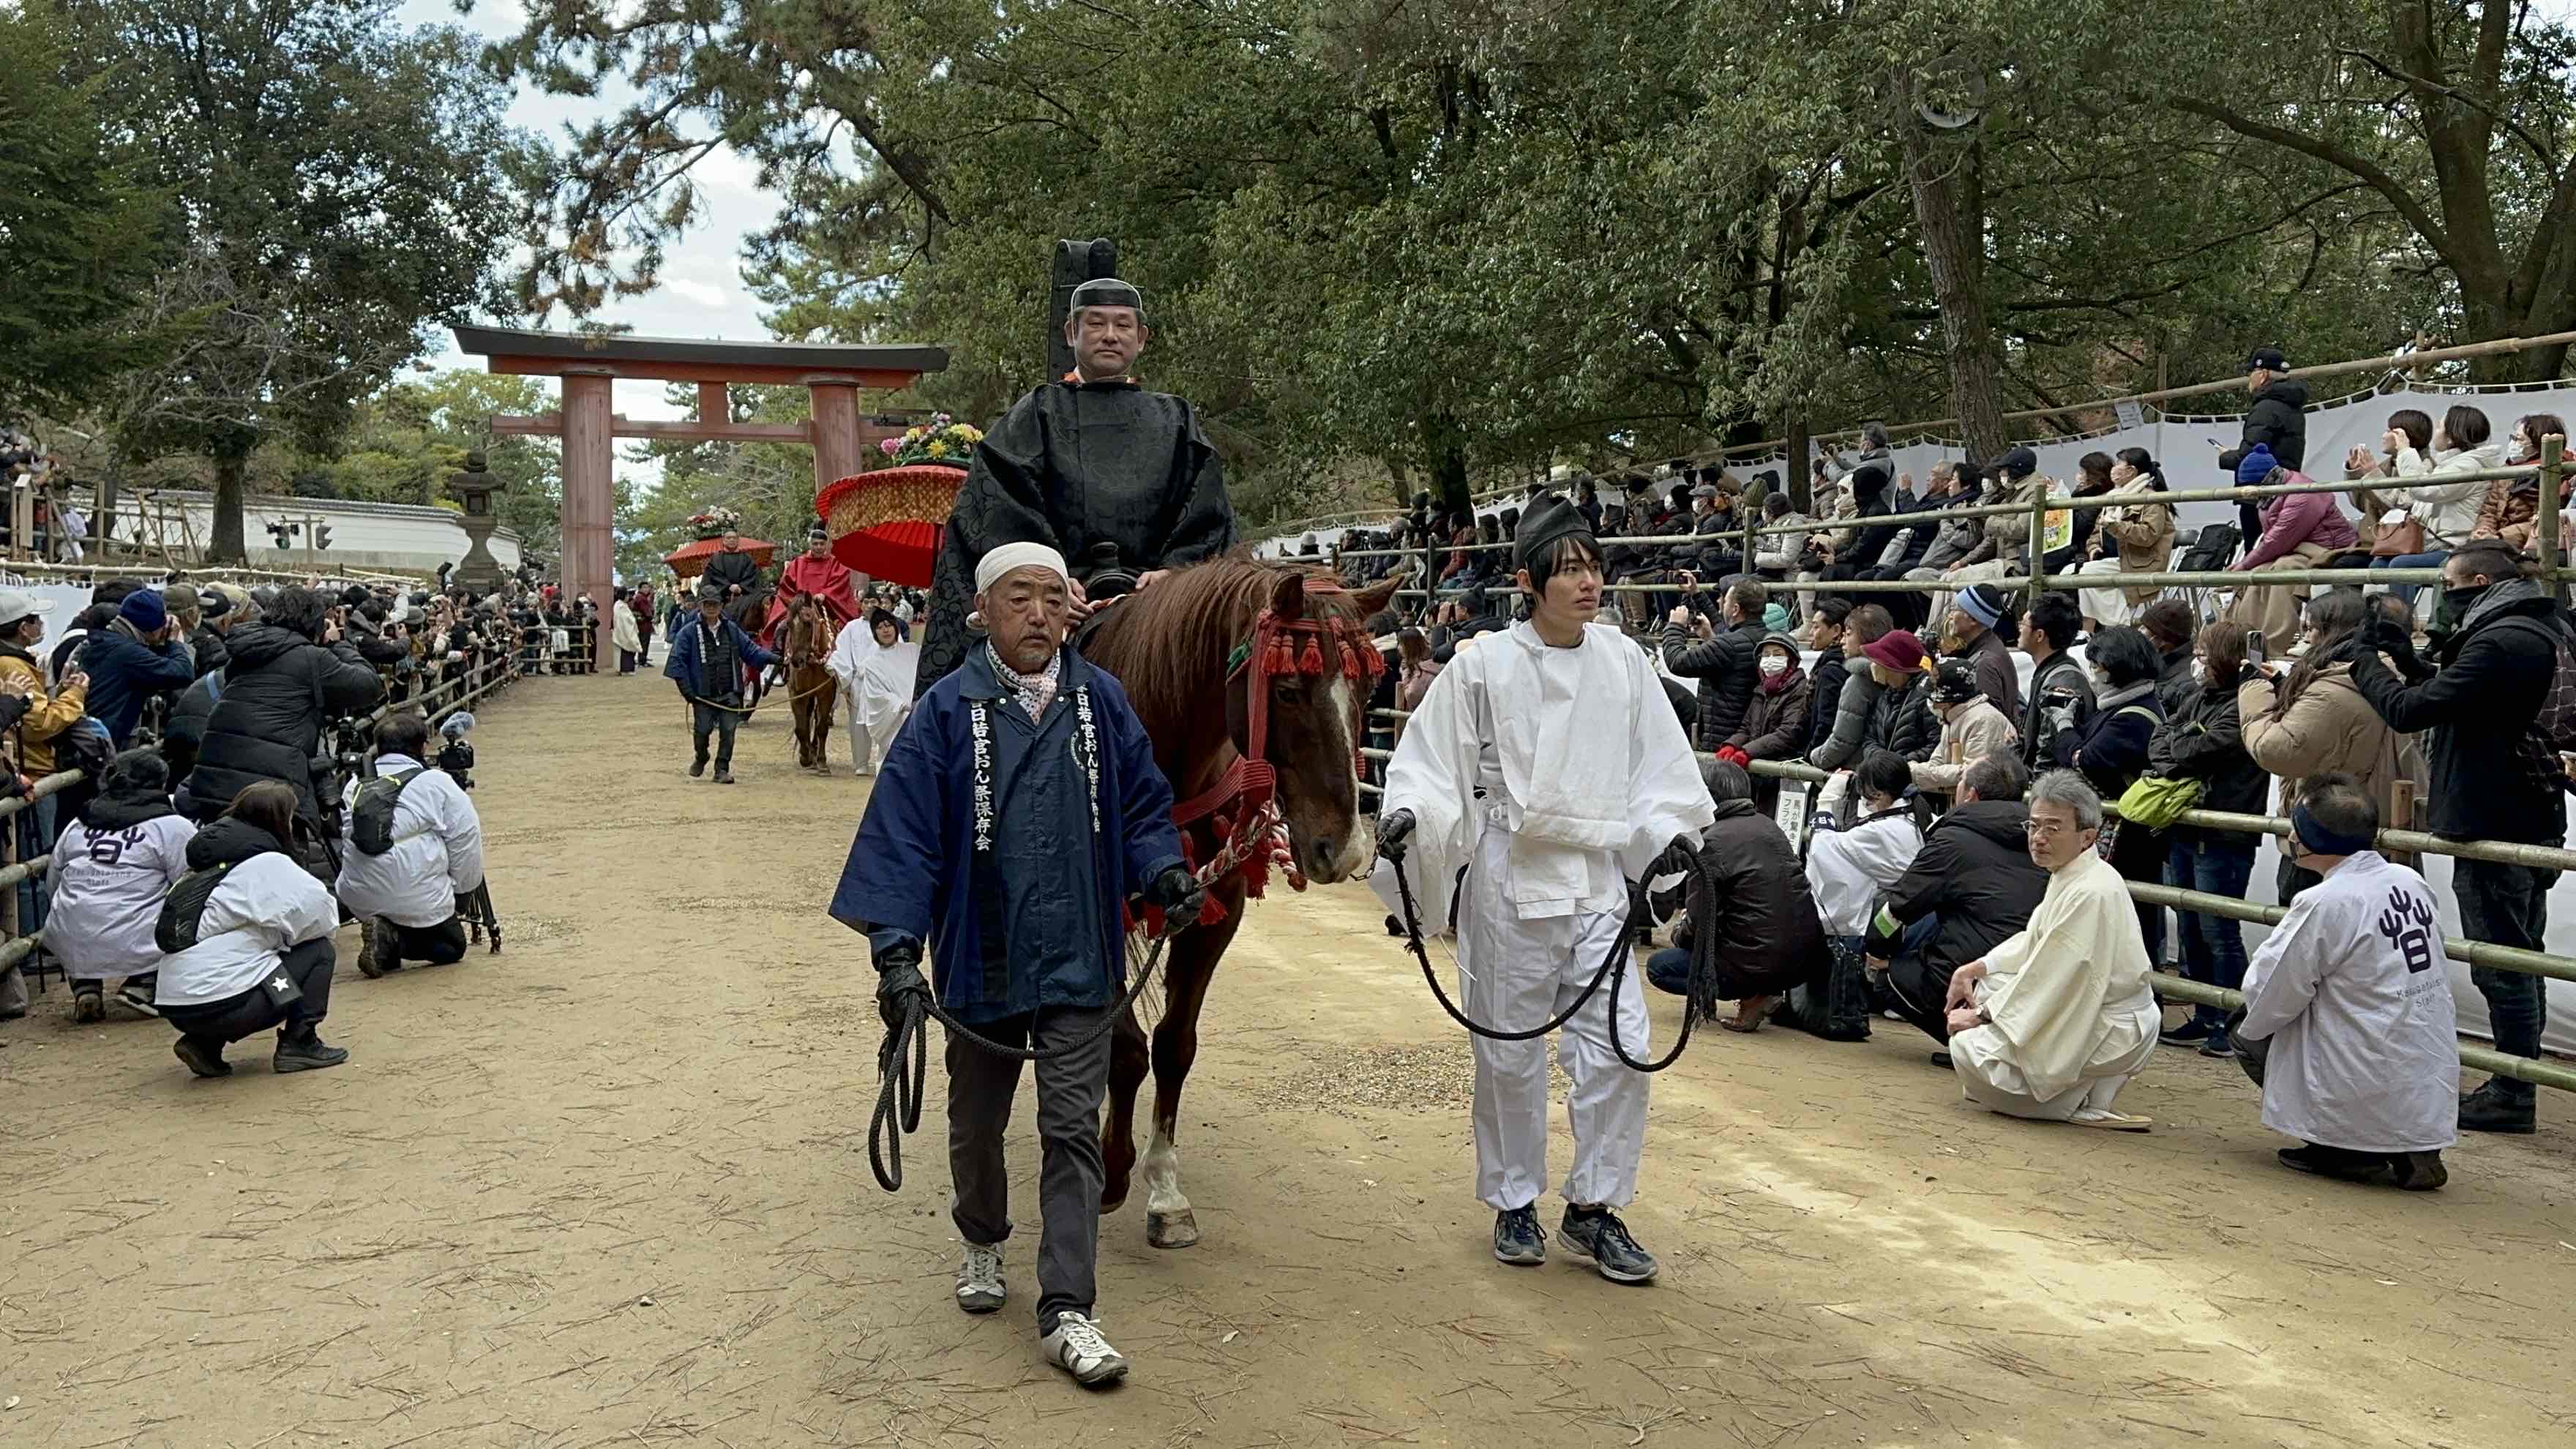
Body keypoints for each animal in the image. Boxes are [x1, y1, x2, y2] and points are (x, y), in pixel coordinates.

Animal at [778, 590, 839, 768]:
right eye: (789, 625)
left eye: (808, 624)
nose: (797, 661)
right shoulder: (797, 692)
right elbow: (801, 728)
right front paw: (805, 757)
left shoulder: (826, 692)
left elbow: (821, 727)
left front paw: (821, 760)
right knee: (807, 717)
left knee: (818, 718)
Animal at [1071, 551, 1401, 1243]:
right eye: (1288, 689)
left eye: (1366, 692)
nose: (1344, 848)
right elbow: (1124, 1047)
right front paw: (1112, 1168)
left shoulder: (1213, 908)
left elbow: (1173, 1045)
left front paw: (1164, 1188)